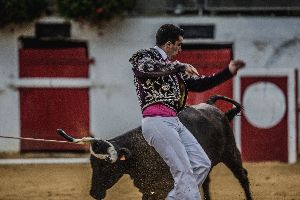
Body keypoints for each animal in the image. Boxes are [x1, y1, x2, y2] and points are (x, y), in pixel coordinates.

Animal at [57, 95, 252, 200]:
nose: (94, 193)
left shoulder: (162, 186)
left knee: (242, 176)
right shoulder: (148, 187)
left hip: (231, 152)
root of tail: (211, 105)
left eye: (106, 166)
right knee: (206, 182)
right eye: (92, 165)